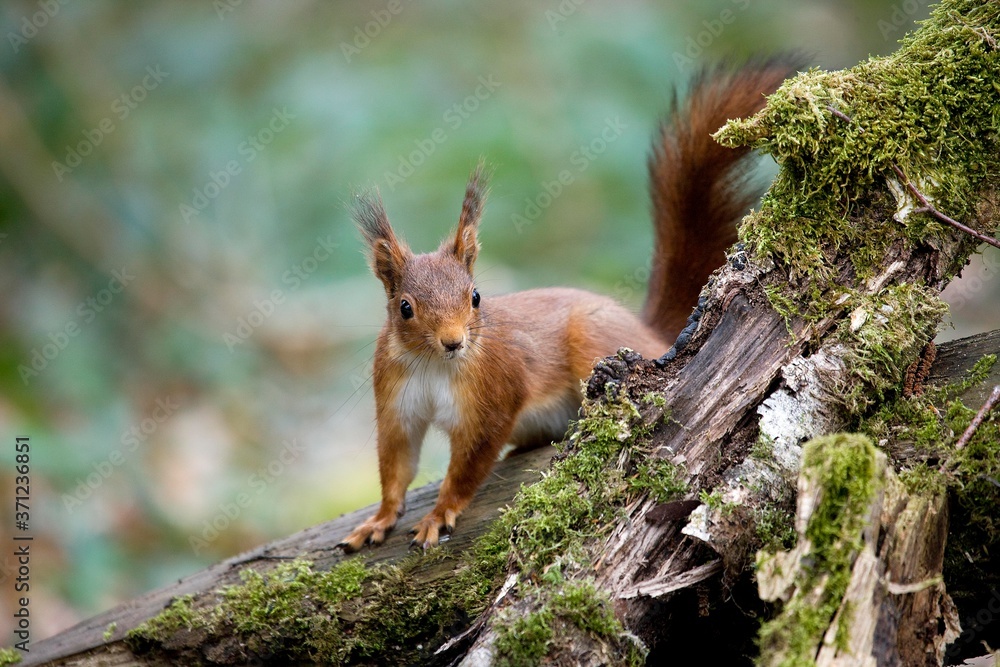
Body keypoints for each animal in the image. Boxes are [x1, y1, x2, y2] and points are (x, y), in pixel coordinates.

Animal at [340, 60, 800, 552]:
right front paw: (378, 519)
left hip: (591, 340)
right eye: (405, 308)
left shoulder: (493, 395)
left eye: (476, 297)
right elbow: (397, 463)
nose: (453, 342)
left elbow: (469, 466)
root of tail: (652, 335)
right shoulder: (396, 401)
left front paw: (439, 513)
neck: (434, 367)